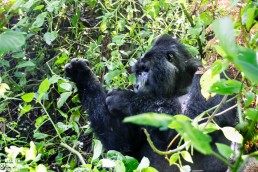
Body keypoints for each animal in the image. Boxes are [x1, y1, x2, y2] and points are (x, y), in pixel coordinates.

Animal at [64, 34, 236, 171]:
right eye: (138, 73)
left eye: (145, 71)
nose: (136, 86)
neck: (180, 83)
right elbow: (121, 145)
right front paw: (82, 75)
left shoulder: (211, 74)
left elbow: (197, 122)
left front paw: (125, 99)